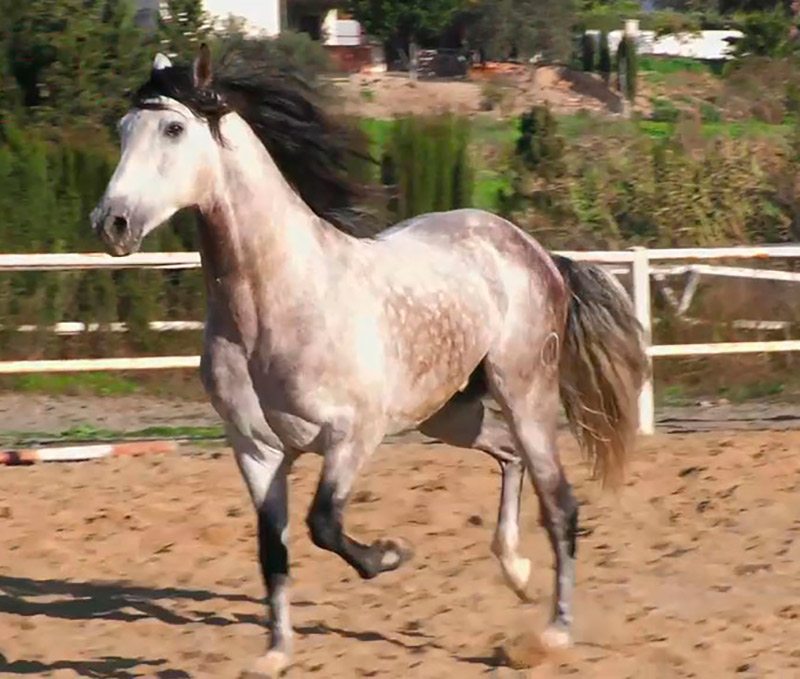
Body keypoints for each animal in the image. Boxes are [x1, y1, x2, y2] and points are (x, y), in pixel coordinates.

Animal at [90, 45, 647, 678]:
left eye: (174, 128)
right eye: (124, 128)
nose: (111, 224)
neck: (271, 304)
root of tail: (537, 252)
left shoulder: (352, 434)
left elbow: (324, 524)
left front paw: (389, 555)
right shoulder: (255, 451)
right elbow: (273, 550)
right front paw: (275, 654)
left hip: (525, 394)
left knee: (561, 505)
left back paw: (552, 633)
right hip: (447, 415)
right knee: (508, 457)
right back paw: (517, 573)